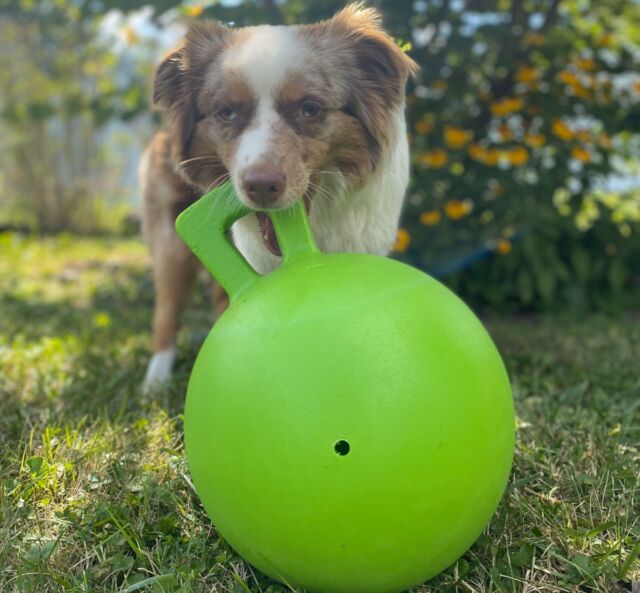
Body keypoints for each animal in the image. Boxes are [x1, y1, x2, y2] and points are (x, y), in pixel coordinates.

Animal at [141, 3, 416, 388]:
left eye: (310, 108)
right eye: (227, 112)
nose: (259, 186)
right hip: (170, 240)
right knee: (167, 308)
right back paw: (155, 380)